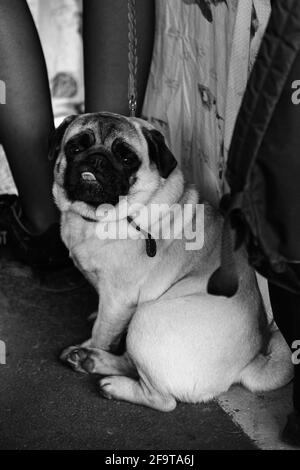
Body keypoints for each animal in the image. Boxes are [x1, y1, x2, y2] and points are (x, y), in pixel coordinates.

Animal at [50, 112, 292, 410]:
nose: (96, 159)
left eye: (126, 158)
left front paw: (91, 343)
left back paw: (104, 374)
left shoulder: (118, 299)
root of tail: (250, 362)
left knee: (163, 400)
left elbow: (102, 333)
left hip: (147, 318)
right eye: (75, 147)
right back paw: (90, 360)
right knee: (131, 362)